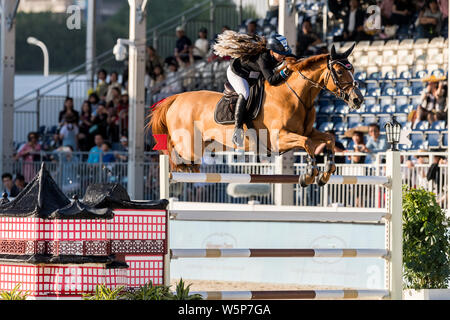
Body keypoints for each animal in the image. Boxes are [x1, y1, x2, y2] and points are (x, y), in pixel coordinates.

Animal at [149, 43, 364, 186]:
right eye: (339, 71)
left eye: (353, 69)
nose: (357, 100)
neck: (295, 95)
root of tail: (176, 98)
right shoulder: (278, 139)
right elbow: (308, 144)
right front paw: (309, 175)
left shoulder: (307, 131)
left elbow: (328, 139)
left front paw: (326, 173)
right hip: (189, 145)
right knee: (175, 156)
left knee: (190, 164)